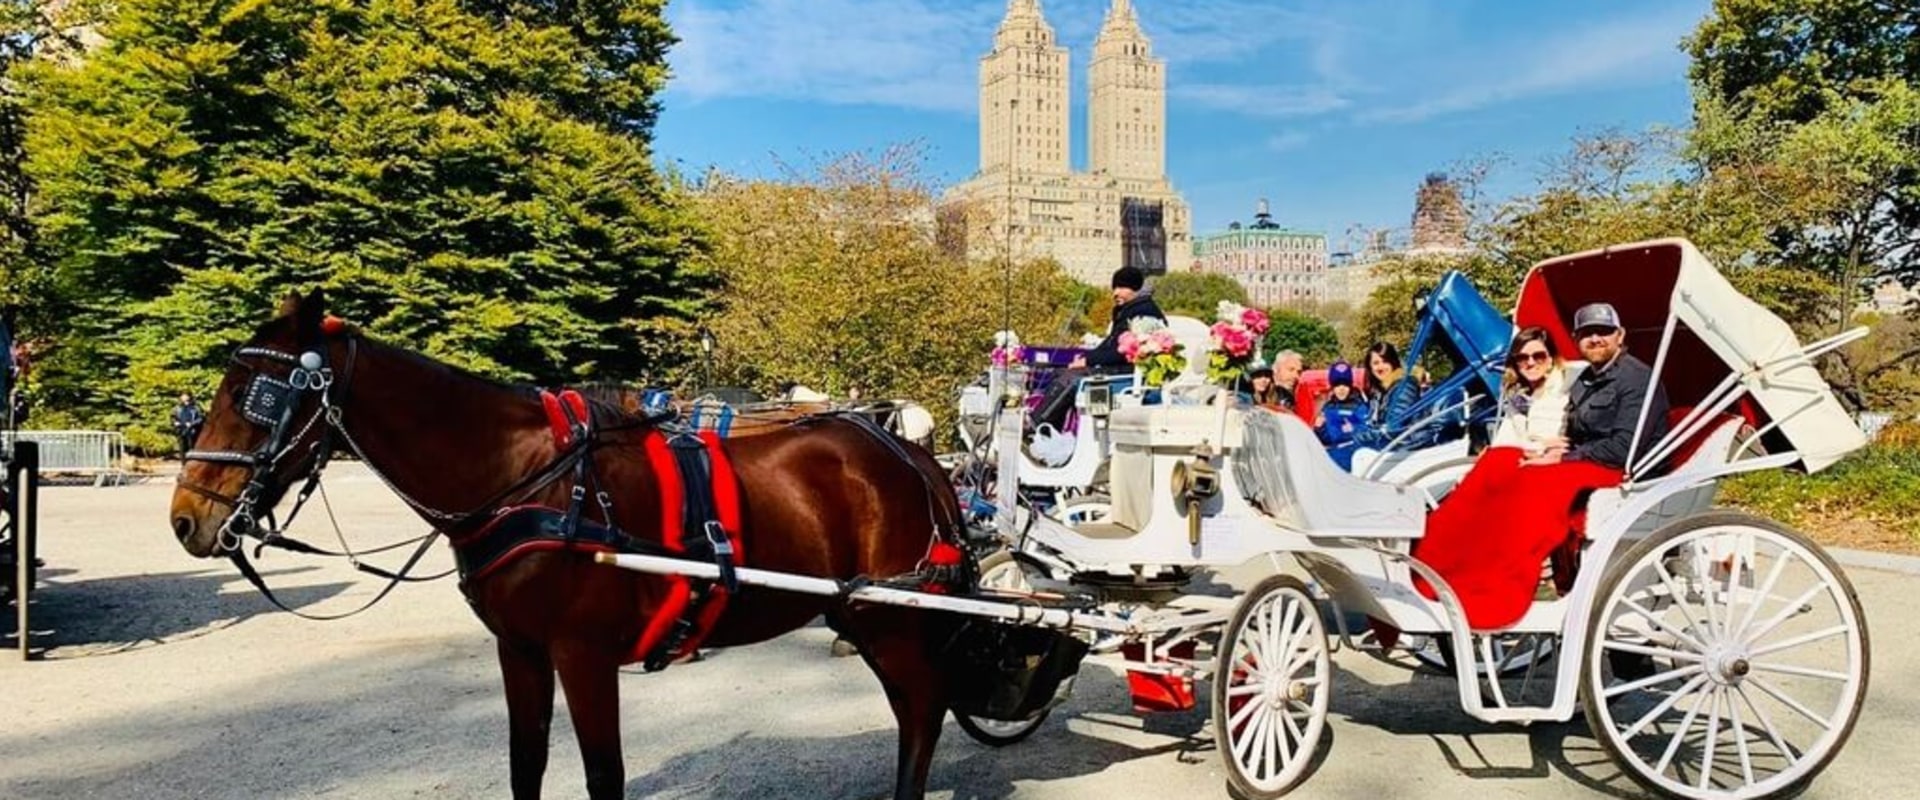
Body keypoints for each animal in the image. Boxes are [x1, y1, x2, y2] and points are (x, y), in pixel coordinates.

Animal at [168, 289, 975, 794]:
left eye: (254, 396)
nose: (186, 518)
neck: (531, 481)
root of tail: (907, 449)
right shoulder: (521, 650)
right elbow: (526, 763)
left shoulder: (582, 656)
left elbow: (602, 775)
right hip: (864, 616)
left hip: (887, 618)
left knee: (924, 707)